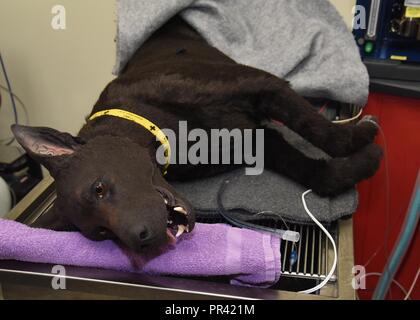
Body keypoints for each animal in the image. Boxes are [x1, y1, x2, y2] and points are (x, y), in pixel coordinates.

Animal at [12, 18, 380, 252]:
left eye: (98, 189)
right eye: (101, 234)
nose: (143, 240)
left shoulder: (265, 85)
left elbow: (315, 127)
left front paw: (358, 138)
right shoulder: (259, 141)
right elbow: (318, 175)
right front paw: (356, 165)